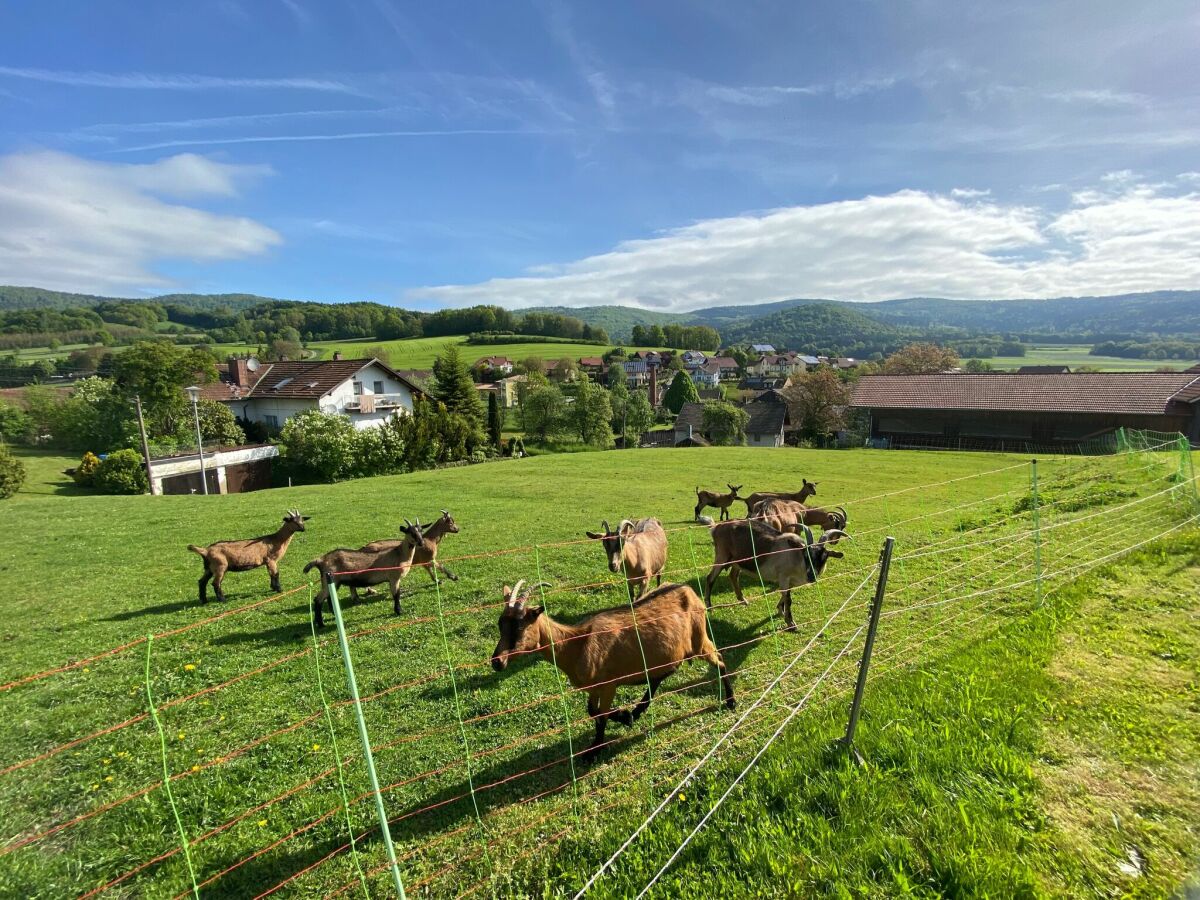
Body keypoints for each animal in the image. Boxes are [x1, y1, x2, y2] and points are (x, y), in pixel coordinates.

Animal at [489, 578, 734, 763]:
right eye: (500, 624)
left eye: (519, 626)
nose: (497, 662)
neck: (576, 645)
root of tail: (689, 590)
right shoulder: (594, 688)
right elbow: (592, 711)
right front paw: (626, 717)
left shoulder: (608, 685)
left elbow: (601, 716)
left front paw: (595, 749)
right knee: (664, 674)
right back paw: (638, 710)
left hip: (699, 640)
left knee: (720, 660)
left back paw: (731, 701)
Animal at [700, 518, 844, 628]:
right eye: (806, 555)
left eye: (824, 557)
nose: (811, 576)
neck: (794, 555)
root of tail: (716, 527)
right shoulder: (784, 576)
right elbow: (788, 598)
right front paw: (791, 623)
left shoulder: (789, 581)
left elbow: (785, 596)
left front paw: (780, 610)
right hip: (722, 556)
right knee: (710, 578)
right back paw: (709, 607)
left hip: (737, 561)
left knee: (733, 576)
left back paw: (743, 600)